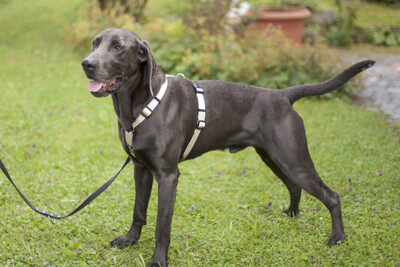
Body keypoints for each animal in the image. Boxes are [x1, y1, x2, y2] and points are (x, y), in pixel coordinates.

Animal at [82, 28, 376, 266]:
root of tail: (282, 95)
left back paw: (338, 237)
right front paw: (130, 240)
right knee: (294, 187)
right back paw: (292, 215)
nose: (87, 63)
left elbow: (161, 226)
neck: (140, 104)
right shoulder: (141, 168)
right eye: (95, 43)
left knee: (332, 196)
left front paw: (158, 260)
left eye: (118, 47)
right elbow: (139, 212)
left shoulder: (167, 176)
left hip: (294, 159)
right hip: (274, 157)